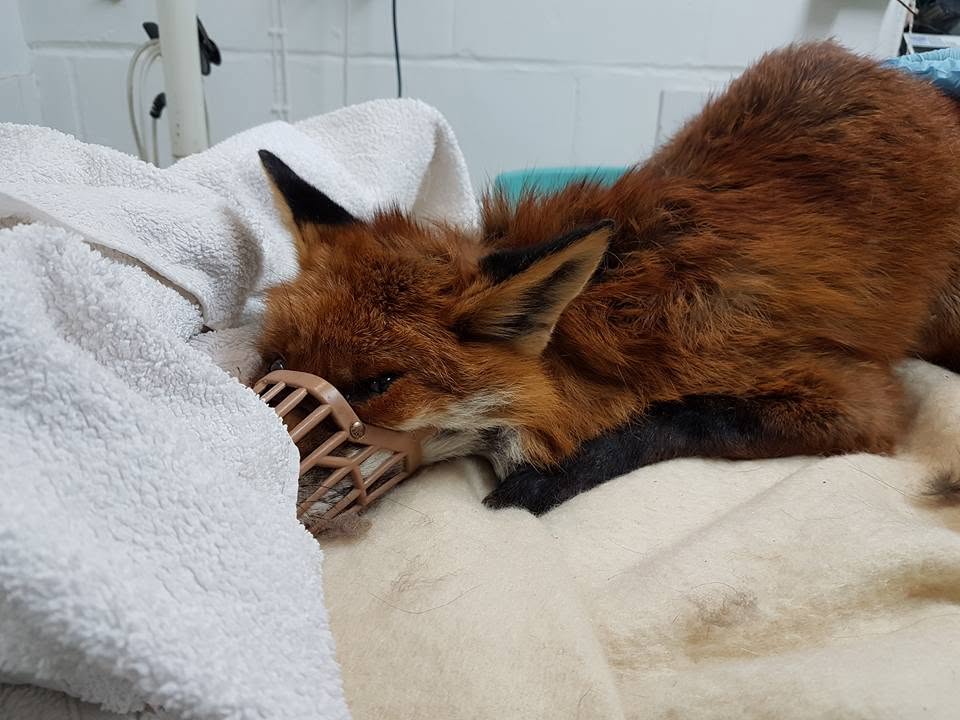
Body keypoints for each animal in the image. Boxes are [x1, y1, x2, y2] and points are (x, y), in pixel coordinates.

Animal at [255, 41, 960, 515]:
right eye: (278, 360)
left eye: (379, 384)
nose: (258, 470)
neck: (604, 308)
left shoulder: (858, 400)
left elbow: (678, 419)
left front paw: (546, 480)